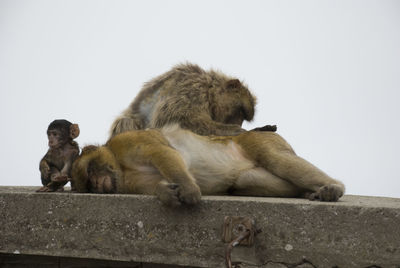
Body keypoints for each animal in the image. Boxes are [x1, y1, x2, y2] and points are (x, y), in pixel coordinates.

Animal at [71, 124, 344, 204]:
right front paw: (166, 193)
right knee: (246, 180)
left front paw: (189, 191)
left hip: (260, 140)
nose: (98, 184)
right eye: (89, 186)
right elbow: (155, 185)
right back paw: (307, 191)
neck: (120, 166)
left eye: (90, 171)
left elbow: (163, 152)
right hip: (250, 171)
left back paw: (334, 188)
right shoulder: (130, 183)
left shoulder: (128, 142)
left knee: (278, 160)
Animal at [109, 63, 276, 138]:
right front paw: (245, 131)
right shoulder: (192, 91)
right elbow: (184, 121)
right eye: (239, 112)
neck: (208, 88)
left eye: (243, 116)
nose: (238, 123)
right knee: (126, 121)